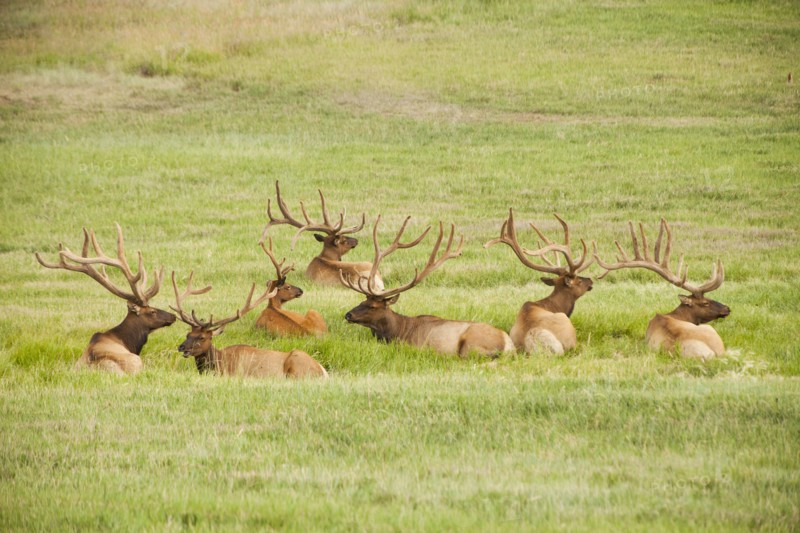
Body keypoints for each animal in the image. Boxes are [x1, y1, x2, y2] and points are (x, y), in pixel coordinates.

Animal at [171, 272, 328, 378]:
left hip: (297, 365)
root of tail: (322, 370)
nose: (181, 347)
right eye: (188, 334)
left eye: (202, 337)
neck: (219, 364)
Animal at [341, 215, 515, 357]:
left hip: (470, 346)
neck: (398, 332)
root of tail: (509, 345)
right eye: (362, 301)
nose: (348, 314)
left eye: (372, 306)